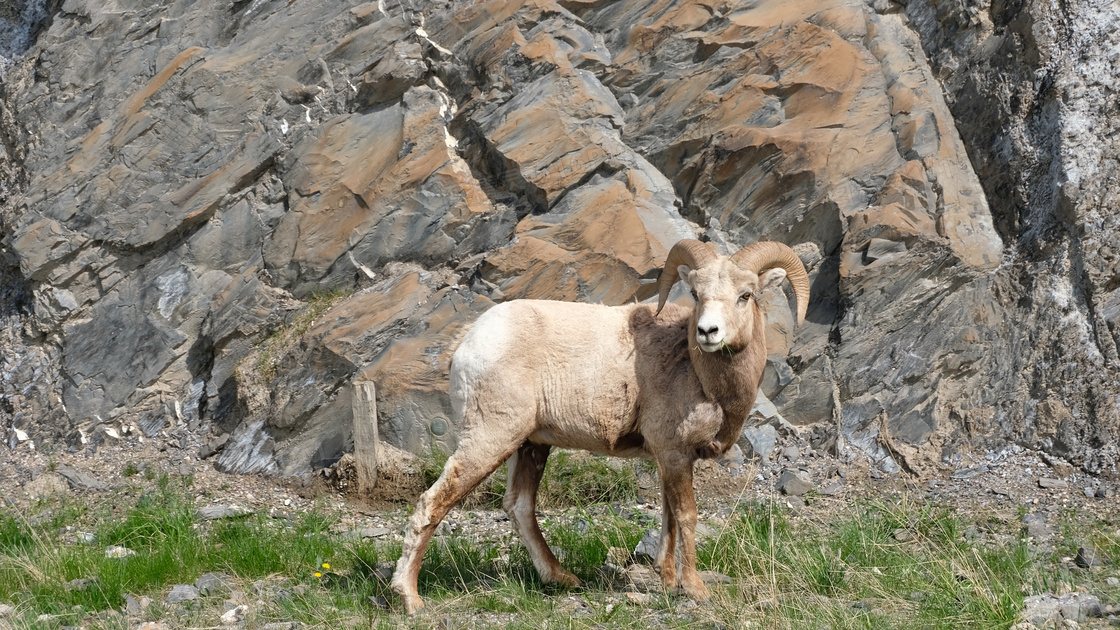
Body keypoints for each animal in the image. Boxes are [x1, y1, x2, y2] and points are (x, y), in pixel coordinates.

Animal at [389, 237, 810, 609]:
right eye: (696, 293)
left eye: (746, 295)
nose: (708, 332)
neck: (705, 378)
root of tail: (468, 341)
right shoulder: (674, 453)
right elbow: (686, 516)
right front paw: (694, 589)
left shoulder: (669, 458)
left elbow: (668, 518)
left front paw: (667, 581)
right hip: (491, 439)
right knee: (433, 503)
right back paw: (409, 599)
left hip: (531, 445)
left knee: (519, 507)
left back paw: (562, 578)